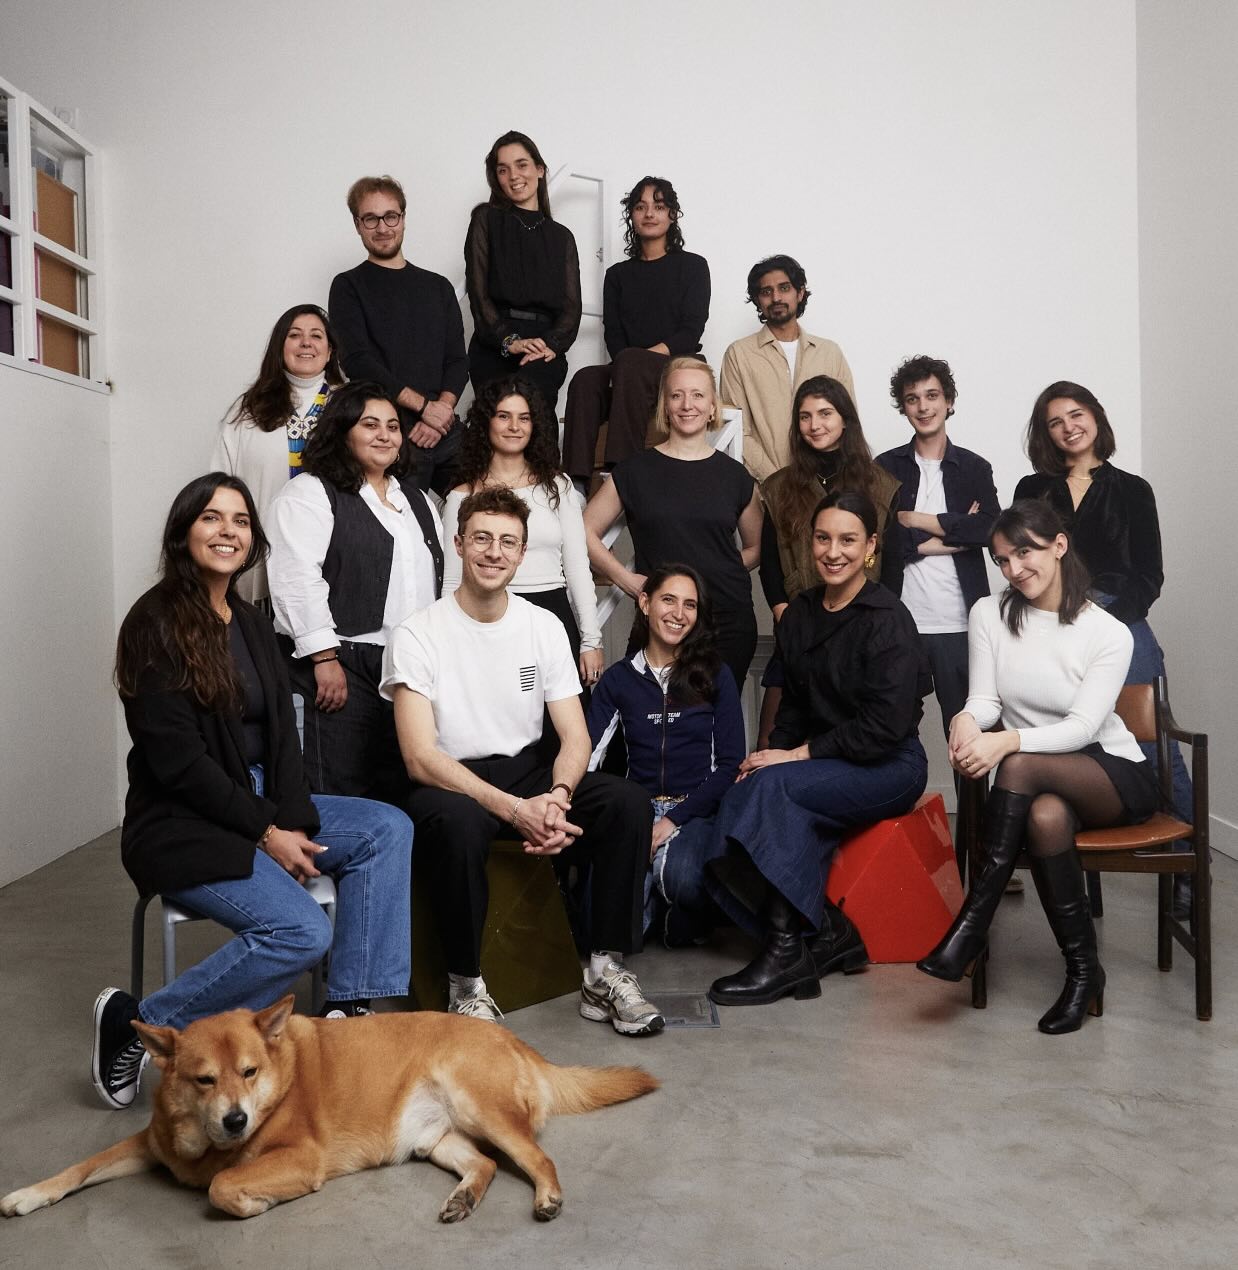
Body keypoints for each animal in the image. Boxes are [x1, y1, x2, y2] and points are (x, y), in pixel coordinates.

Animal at [1, 995, 658, 1223]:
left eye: (249, 1072)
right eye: (203, 1080)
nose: (236, 1120)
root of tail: (516, 1040)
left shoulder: (300, 1158)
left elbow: (222, 1186)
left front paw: (251, 1201)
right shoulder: (147, 1145)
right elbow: (78, 1168)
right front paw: (28, 1194)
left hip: (482, 1108)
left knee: (537, 1158)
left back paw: (547, 1198)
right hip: (434, 1138)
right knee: (487, 1165)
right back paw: (462, 1198)